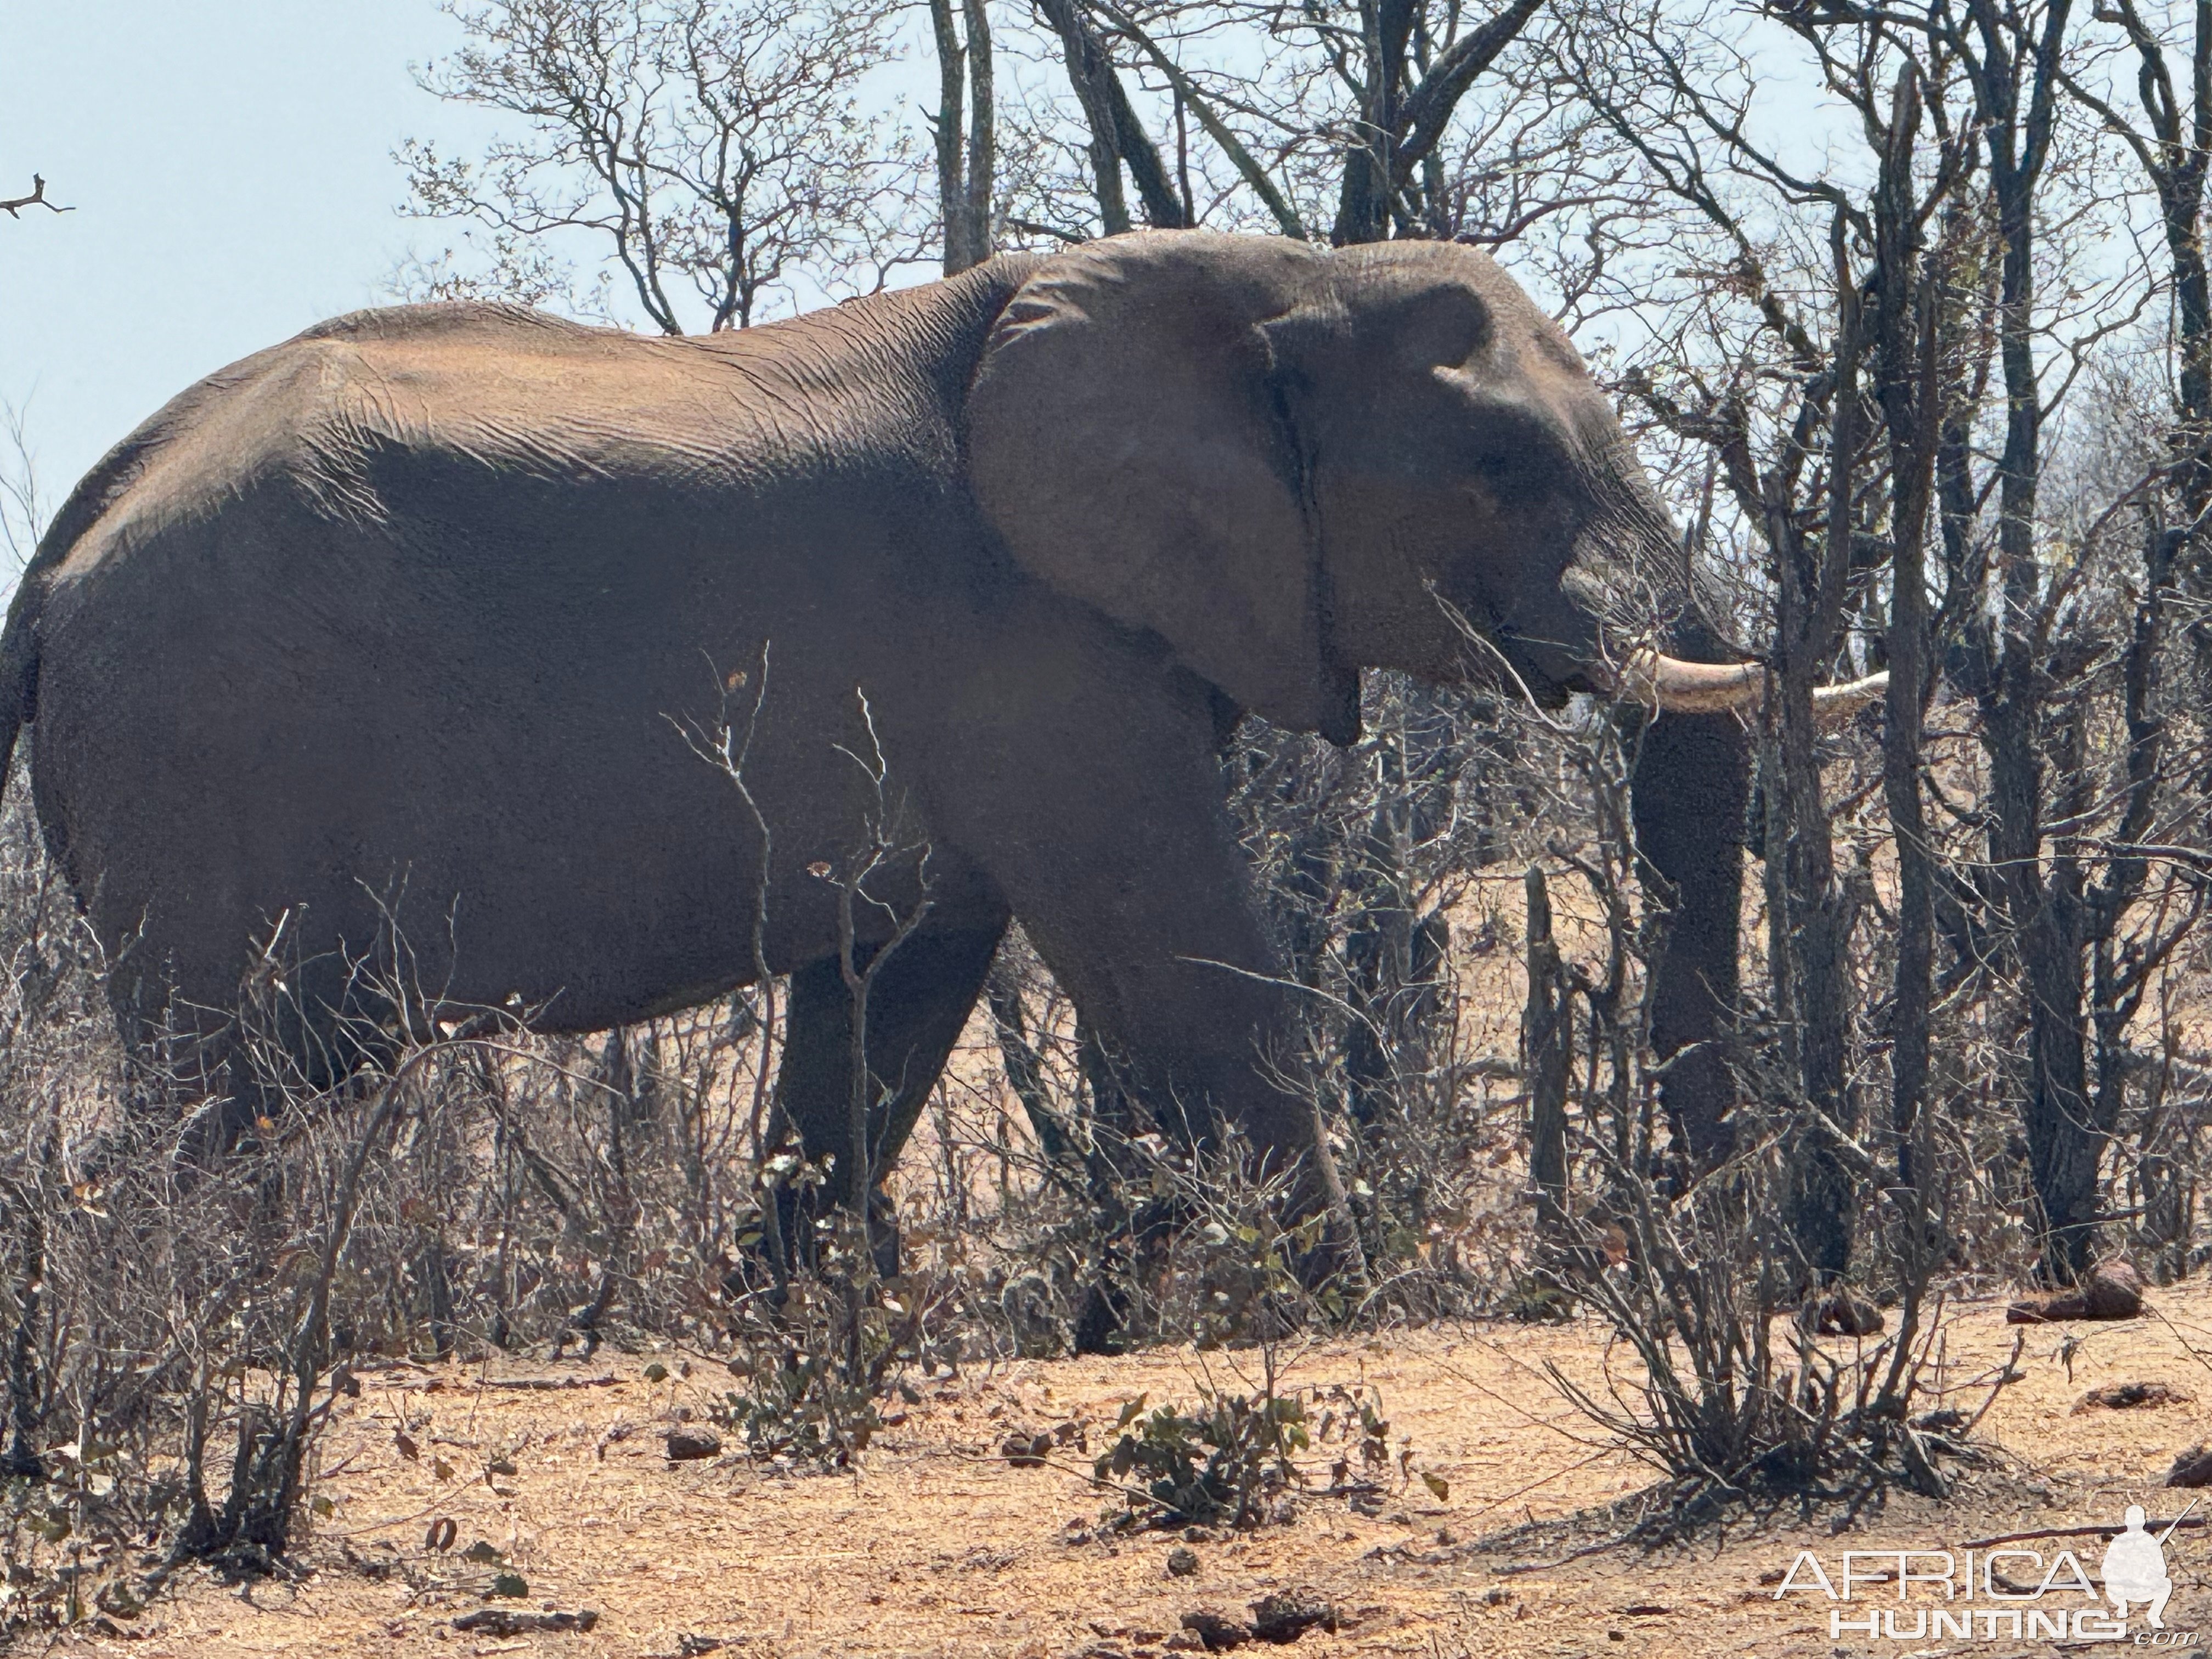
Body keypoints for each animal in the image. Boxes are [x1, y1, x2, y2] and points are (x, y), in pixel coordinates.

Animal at [0, 231, 1876, 1256]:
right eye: (1503, 470)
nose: (1691, 1223)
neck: (1277, 275)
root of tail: (68, 544)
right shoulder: (1042, 653)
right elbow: (1186, 965)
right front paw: (1350, 1295)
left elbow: (890, 1001)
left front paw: (790, 1319)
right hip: (209, 752)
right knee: (208, 1088)